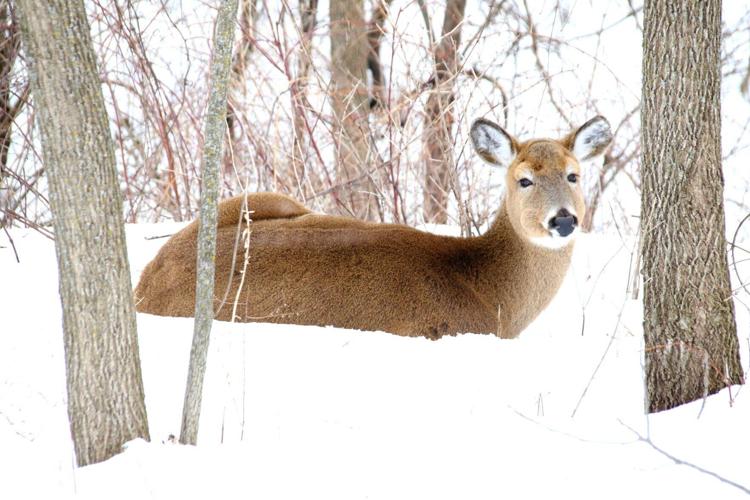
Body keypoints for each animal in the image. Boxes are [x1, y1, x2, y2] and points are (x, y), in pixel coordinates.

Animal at [134, 116, 613, 340]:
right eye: (524, 179)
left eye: (574, 175)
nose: (563, 218)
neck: (490, 292)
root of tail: (143, 285)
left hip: (259, 198)